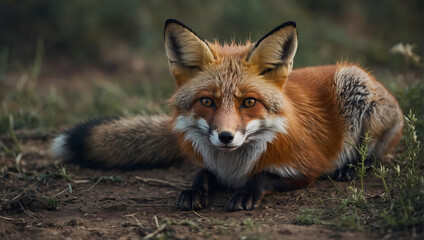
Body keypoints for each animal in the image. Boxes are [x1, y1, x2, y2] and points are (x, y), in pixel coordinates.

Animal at [50, 20, 404, 212]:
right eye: (207, 101)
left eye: (249, 102)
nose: (225, 136)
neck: (234, 165)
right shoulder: (212, 165)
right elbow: (202, 174)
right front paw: (195, 191)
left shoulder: (307, 169)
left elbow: (262, 177)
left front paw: (245, 192)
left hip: (353, 83)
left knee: (377, 154)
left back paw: (352, 167)